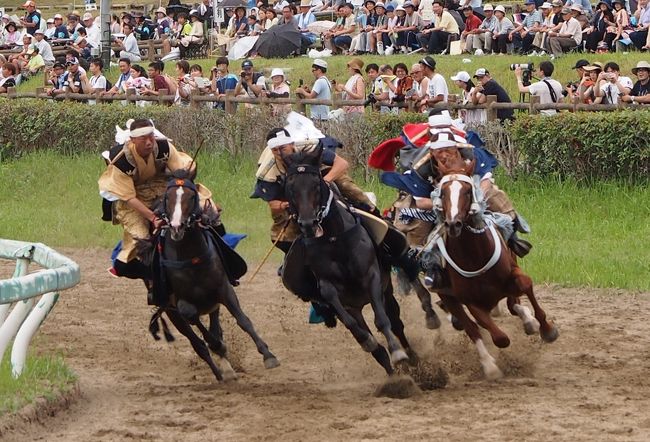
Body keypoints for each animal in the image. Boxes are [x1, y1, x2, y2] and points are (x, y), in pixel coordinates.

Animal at [140, 171, 278, 382]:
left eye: (192, 196)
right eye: (167, 198)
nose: (177, 227)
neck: (191, 258)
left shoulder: (223, 290)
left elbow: (243, 320)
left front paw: (268, 355)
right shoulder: (180, 304)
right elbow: (196, 324)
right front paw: (218, 348)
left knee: (214, 327)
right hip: (172, 313)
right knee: (198, 343)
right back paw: (220, 372)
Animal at [280, 147, 412, 374]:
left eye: (316, 184)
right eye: (290, 187)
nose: (308, 224)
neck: (334, 238)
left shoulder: (372, 277)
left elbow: (382, 320)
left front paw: (398, 353)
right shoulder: (329, 290)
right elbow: (355, 328)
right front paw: (368, 341)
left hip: (385, 290)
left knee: (395, 322)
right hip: (353, 306)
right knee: (371, 341)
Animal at [430, 149, 556, 380]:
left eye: (467, 191)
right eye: (442, 193)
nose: (453, 224)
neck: (474, 255)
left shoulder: (513, 273)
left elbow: (525, 285)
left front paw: (547, 329)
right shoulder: (470, 301)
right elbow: (497, 336)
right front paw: (491, 366)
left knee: (513, 304)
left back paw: (529, 321)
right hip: (448, 295)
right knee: (472, 326)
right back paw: (489, 365)